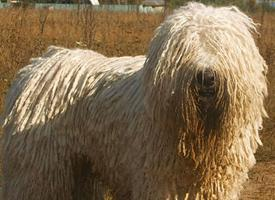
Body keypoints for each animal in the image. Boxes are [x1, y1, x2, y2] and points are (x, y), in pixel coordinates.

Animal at [1, 1, 268, 200]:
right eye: (185, 48)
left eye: (222, 45)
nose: (206, 77)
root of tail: (36, 67)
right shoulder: (159, 179)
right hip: (39, 169)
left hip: (81, 168)